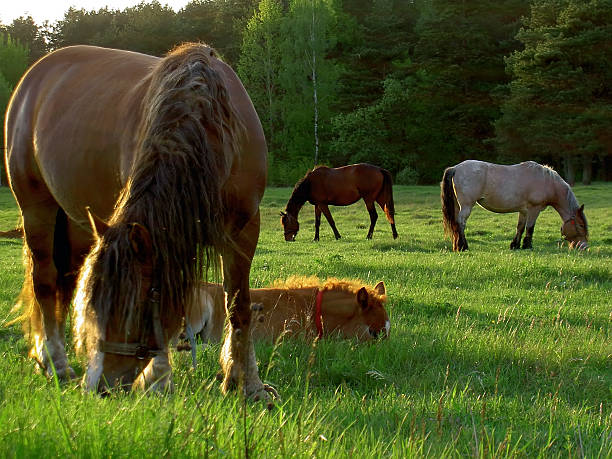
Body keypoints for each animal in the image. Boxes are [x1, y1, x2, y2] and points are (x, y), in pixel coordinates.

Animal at [5, 44, 274, 402]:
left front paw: (247, 384)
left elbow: (238, 304)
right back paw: (56, 364)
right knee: (45, 281)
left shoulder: (243, 230)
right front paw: (158, 381)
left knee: (66, 276)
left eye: (134, 309)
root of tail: (34, 75)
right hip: (37, 208)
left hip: (78, 225)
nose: (100, 387)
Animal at [440, 161, 588, 252]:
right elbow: (530, 228)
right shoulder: (534, 209)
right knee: (461, 223)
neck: (547, 182)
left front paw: (515, 245)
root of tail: (456, 168)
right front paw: (527, 246)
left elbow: (520, 227)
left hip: (458, 206)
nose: (584, 247)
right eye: (581, 225)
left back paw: (456, 246)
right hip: (466, 206)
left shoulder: (524, 211)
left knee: (455, 224)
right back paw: (463, 246)